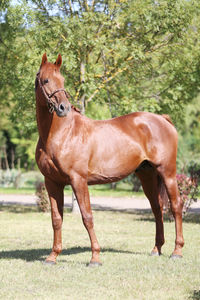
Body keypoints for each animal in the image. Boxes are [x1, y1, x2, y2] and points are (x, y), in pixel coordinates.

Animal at [35, 53, 184, 264]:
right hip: (147, 175)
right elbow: (56, 219)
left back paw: (177, 251)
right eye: (46, 80)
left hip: (167, 173)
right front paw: (52, 256)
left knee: (176, 206)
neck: (61, 134)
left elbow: (87, 217)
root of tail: (162, 119)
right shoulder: (52, 182)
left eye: (62, 80)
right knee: (157, 208)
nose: (63, 108)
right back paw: (157, 248)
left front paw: (95, 257)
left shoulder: (78, 180)